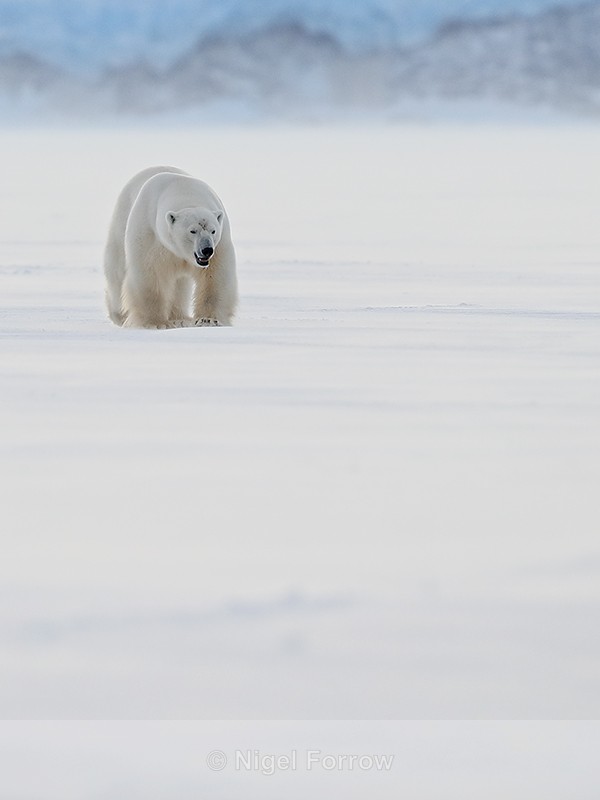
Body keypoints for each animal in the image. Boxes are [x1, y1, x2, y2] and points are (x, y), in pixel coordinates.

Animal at [104, 166, 237, 328]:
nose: (206, 250)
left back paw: (179, 319)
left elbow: (215, 275)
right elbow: (149, 274)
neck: (185, 191)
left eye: (213, 230)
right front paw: (155, 323)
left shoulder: (220, 242)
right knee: (117, 271)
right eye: (192, 231)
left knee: (179, 286)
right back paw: (120, 316)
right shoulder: (150, 233)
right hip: (121, 222)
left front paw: (208, 320)